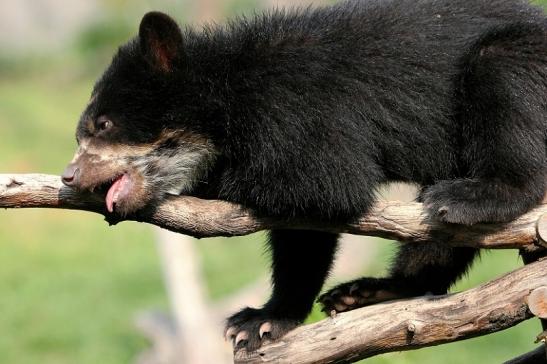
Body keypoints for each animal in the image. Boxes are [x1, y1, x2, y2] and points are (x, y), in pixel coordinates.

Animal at [61, 0, 547, 352]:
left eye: (102, 125)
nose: (69, 177)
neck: (227, 97)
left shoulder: (297, 115)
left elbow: (321, 192)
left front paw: (259, 322)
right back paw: (371, 292)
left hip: (519, 67)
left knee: (504, 82)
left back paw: (474, 196)